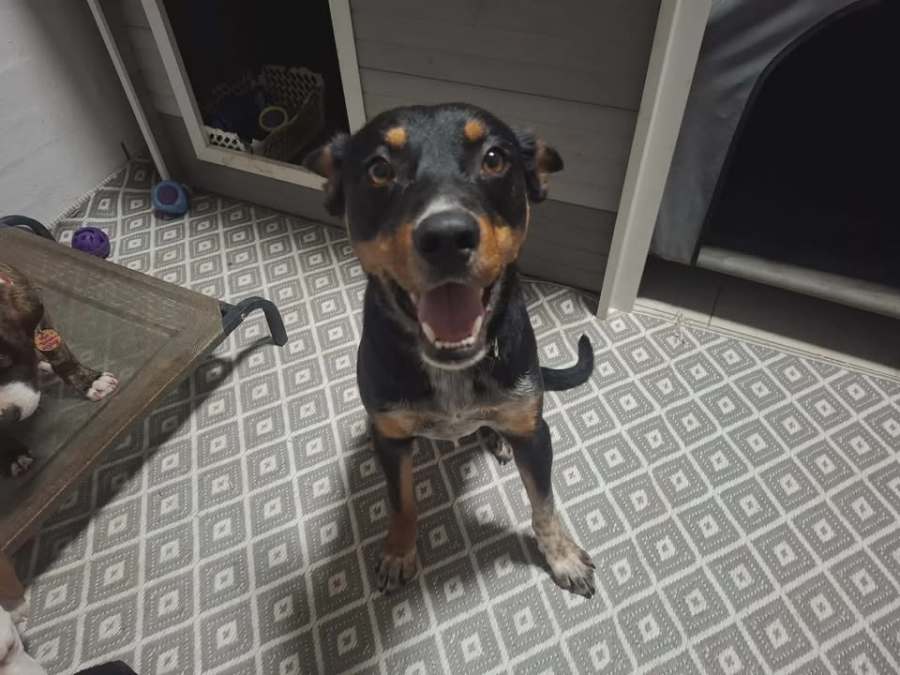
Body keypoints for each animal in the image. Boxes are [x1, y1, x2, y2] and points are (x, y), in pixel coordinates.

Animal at [0, 263, 118, 477]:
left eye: (2, 359)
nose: (7, 417)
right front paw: (12, 453)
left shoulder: (35, 312)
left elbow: (60, 354)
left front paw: (90, 381)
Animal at [304, 103, 596, 597]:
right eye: (379, 169)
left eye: (495, 159)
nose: (446, 237)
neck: (453, 369)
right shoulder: (392, 438)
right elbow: (401, 502)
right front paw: (398, 553)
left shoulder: (534, 432)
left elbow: (543, 504)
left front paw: (562, 557)